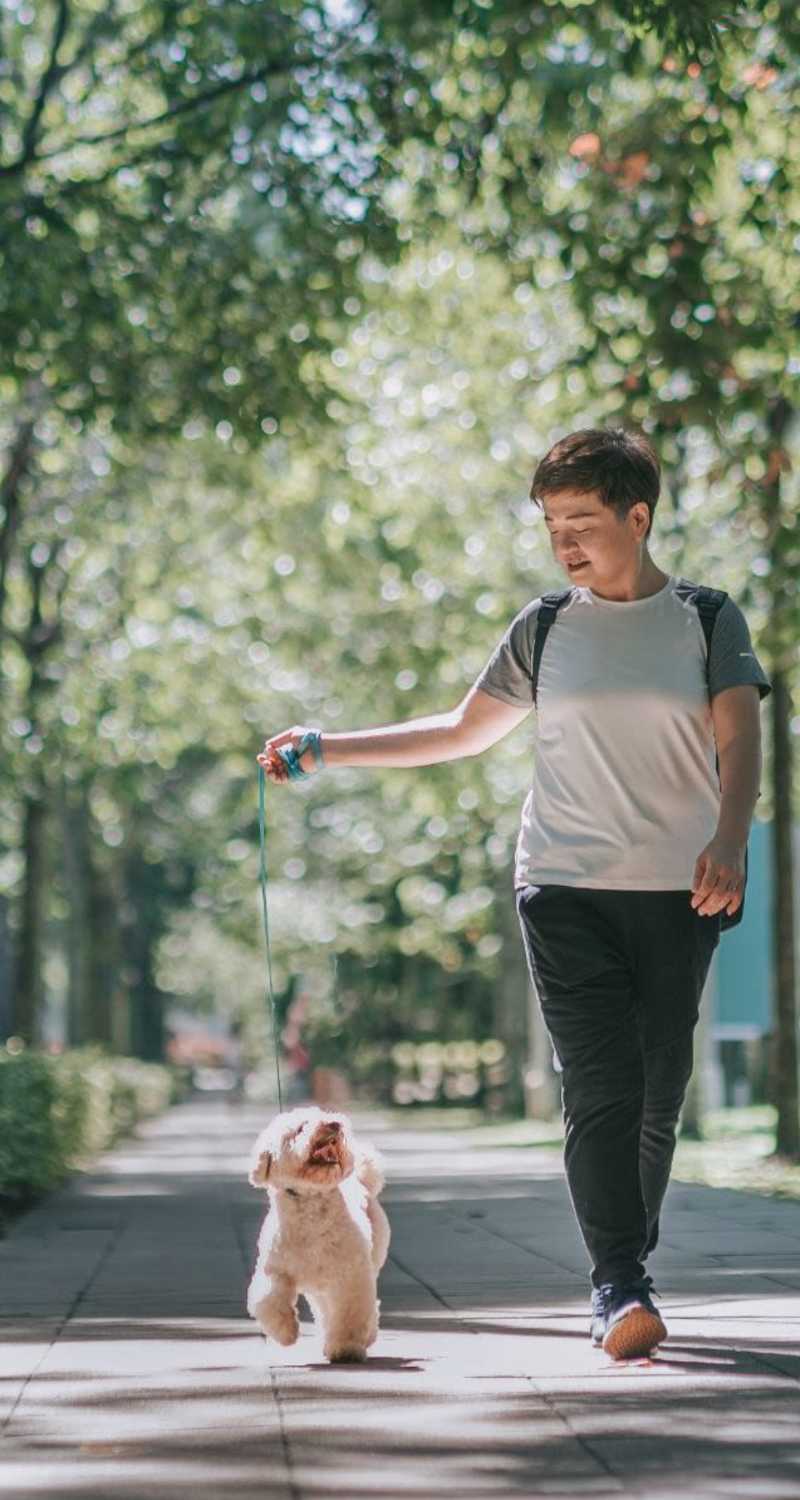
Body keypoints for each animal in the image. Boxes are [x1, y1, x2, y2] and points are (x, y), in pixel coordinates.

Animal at [246, 1104, 390, 1362]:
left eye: (324, 1116)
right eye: (300, 1128)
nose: (334, 1124)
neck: (310, 1200)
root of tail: (362, 1178)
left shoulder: (351, 1276)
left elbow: (351, 1313)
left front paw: (346, 1347)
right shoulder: (276, 1270)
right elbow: (268, 1300)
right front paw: (286, 1333)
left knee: (364, 1308)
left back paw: (364, 1336)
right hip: (319, 1288)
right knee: (324, 1311)